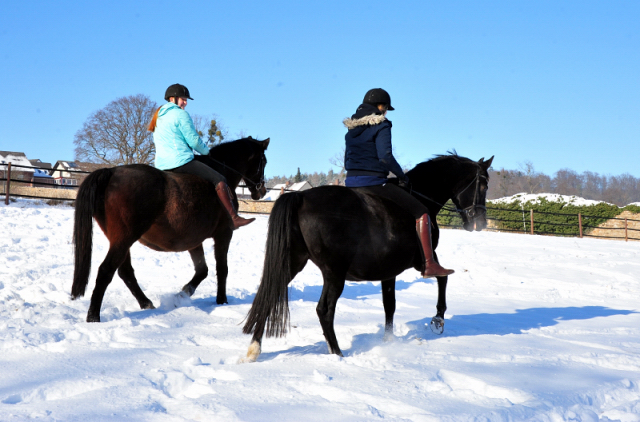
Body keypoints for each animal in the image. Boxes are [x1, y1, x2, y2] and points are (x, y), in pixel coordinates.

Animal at [72, 137, 270, 322]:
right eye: (264, 161)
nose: (262, 192)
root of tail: (111, 172)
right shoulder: (224, 234)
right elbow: (222, 268)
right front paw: (222, 301)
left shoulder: (193, 240)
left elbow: (202, 270)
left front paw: (182, 295)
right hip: (124, 238)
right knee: (106, 271)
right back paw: (93, 316)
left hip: (120, 240)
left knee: (125, 271)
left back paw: (146, 303)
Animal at [242, 153, 492, 362]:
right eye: (483, 184)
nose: (480, 222)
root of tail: (301, 197)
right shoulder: (422, 262)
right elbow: (442, 277)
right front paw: (438, 319)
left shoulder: (389, 270)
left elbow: (389, 305)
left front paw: (388, 340)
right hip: (334, 274)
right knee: (324, 310)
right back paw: (337, 353)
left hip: (293, 262)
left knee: (269, 295)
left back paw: (254, 350)